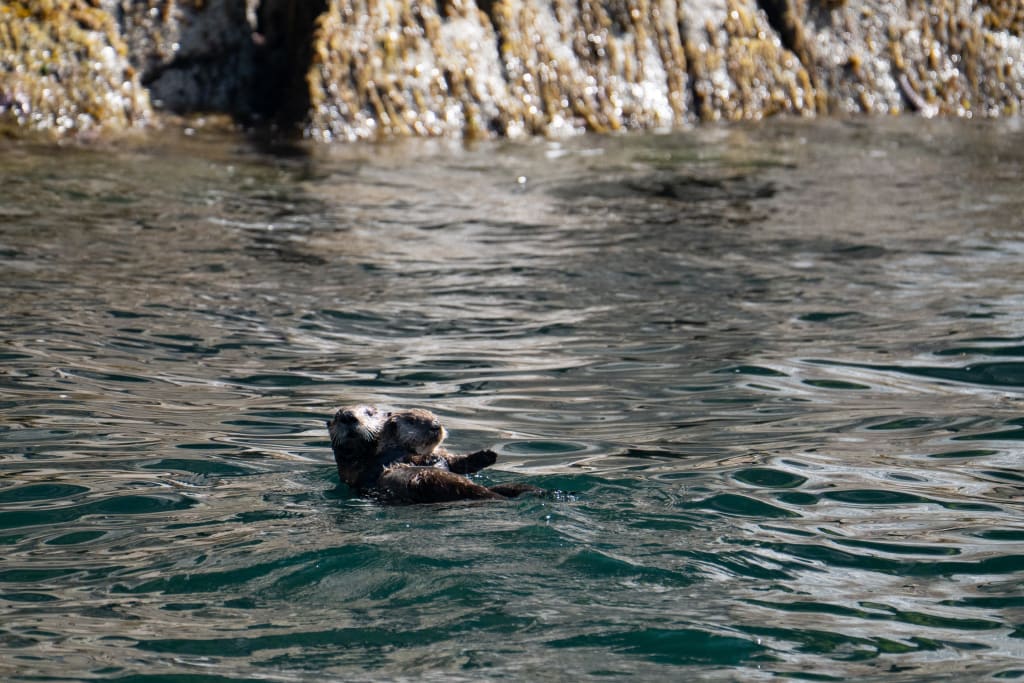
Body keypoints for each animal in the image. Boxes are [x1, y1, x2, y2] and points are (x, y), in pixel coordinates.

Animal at [326, 405, 541, 503]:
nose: (436, 425)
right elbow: (413, 459)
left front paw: (488, 455)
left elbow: (458, 462)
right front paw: (429, 458)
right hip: (434, 480)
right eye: (413, 421)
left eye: (435, 417)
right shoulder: (390, 458)